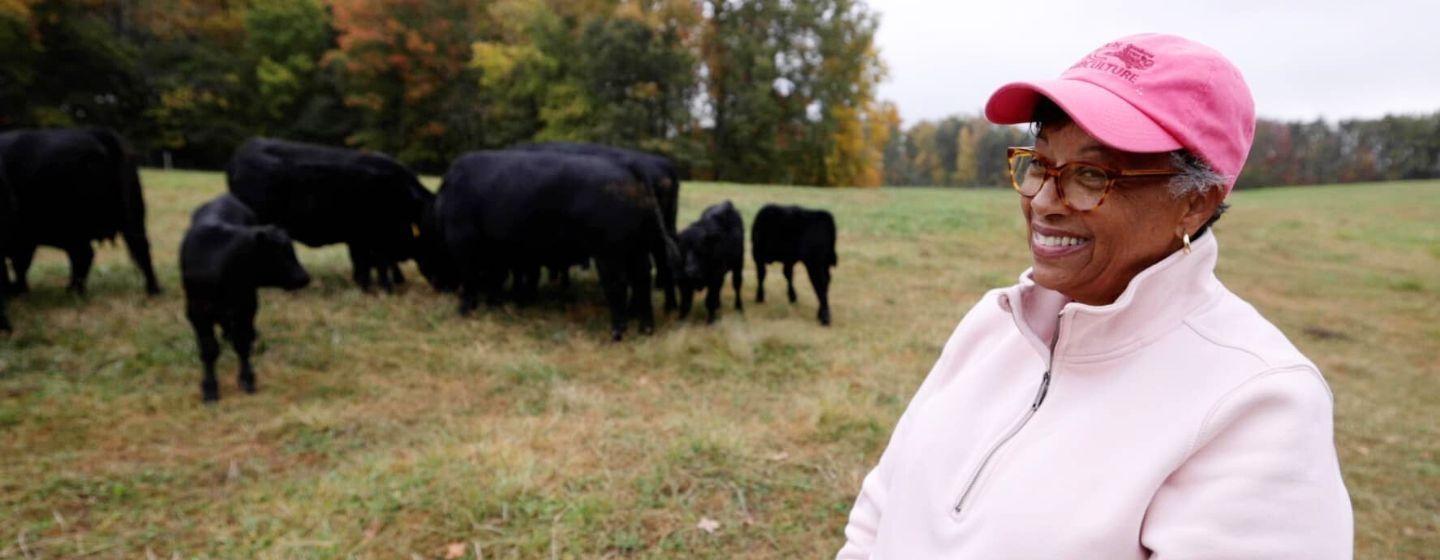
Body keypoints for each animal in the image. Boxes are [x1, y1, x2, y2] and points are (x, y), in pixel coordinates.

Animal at [0, 128, 162, 296]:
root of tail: (97, 133)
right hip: (133, 215)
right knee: (140, 247)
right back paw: (153, 290)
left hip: (72, 226)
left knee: (84, 254)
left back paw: (72, 291)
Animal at [181, 192, 311, 400]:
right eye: (278, 254)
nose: (304, 277)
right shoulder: (197, 312)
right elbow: (209, 349)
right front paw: (209, 387)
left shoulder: (246, 305)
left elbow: (242, 343)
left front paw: (247, 378)